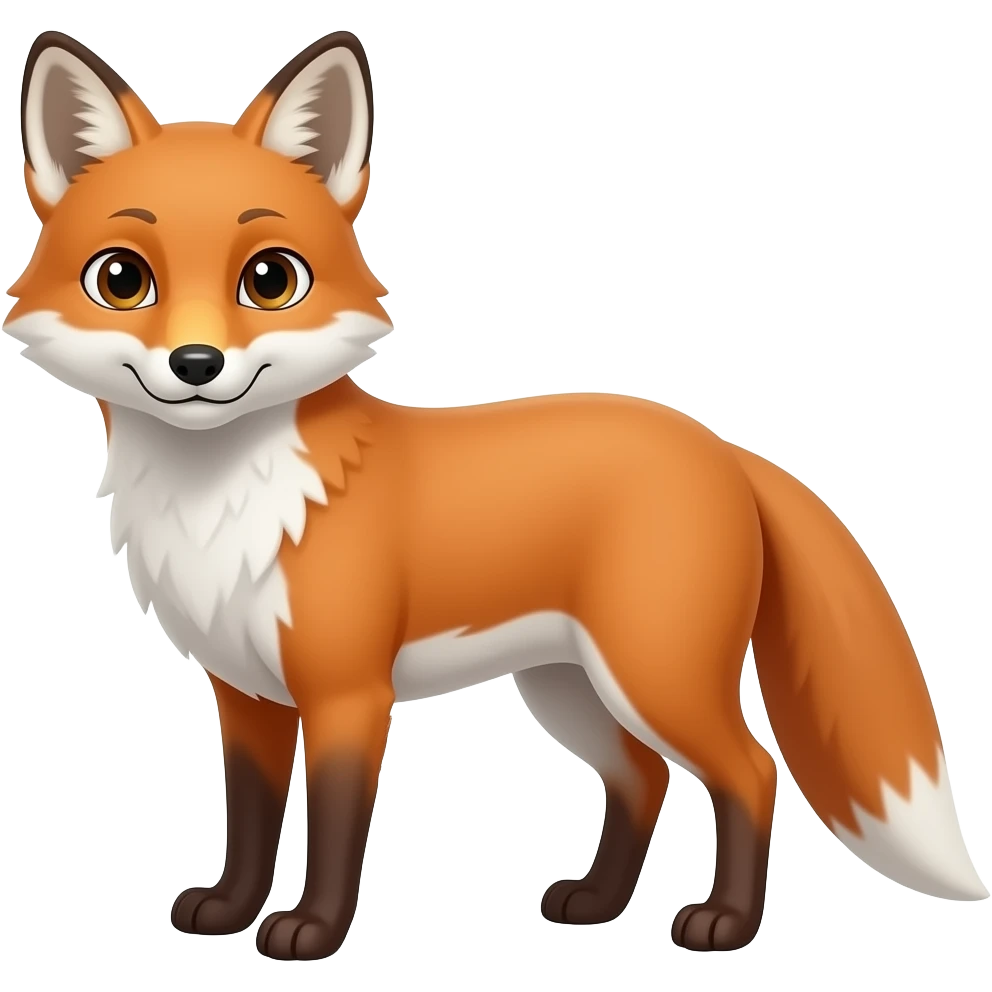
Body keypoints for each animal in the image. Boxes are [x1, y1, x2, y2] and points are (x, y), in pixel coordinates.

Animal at [5, 27, 987, 962]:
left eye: (270, 279)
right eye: (122, 279)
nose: (197, 364)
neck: (225, 509)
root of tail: (720, 446)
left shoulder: (348, 694)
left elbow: (334, 830)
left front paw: (311, 934)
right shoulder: (246, 695)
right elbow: (248, 821)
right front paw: (228, 910)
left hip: (653, 675)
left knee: (751, 771)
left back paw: (726, 924)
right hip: (569, 689)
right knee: (643, 778)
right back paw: (597, 904)